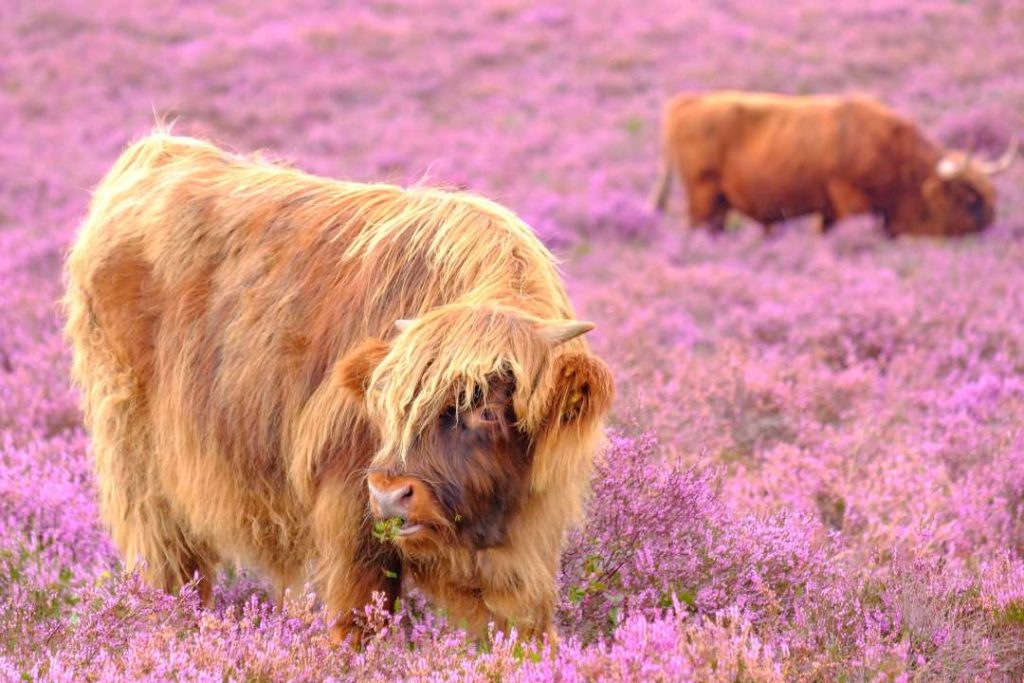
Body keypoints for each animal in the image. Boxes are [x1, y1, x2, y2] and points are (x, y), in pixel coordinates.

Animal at [64, 132, 613, 644]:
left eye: (488, 410)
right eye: (388, 409)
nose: (391, 495)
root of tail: (160, 149)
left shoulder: (528, 543)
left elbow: (523, 628)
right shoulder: (350, 511)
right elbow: (357, 615)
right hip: (139, 464)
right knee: (171, 564)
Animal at [649, 91, 1018, 237]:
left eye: (992, 193)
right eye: (970, 195)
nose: (992, 222)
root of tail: (689, 101)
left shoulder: (828, 213)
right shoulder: (850, 201)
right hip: (704, 199)